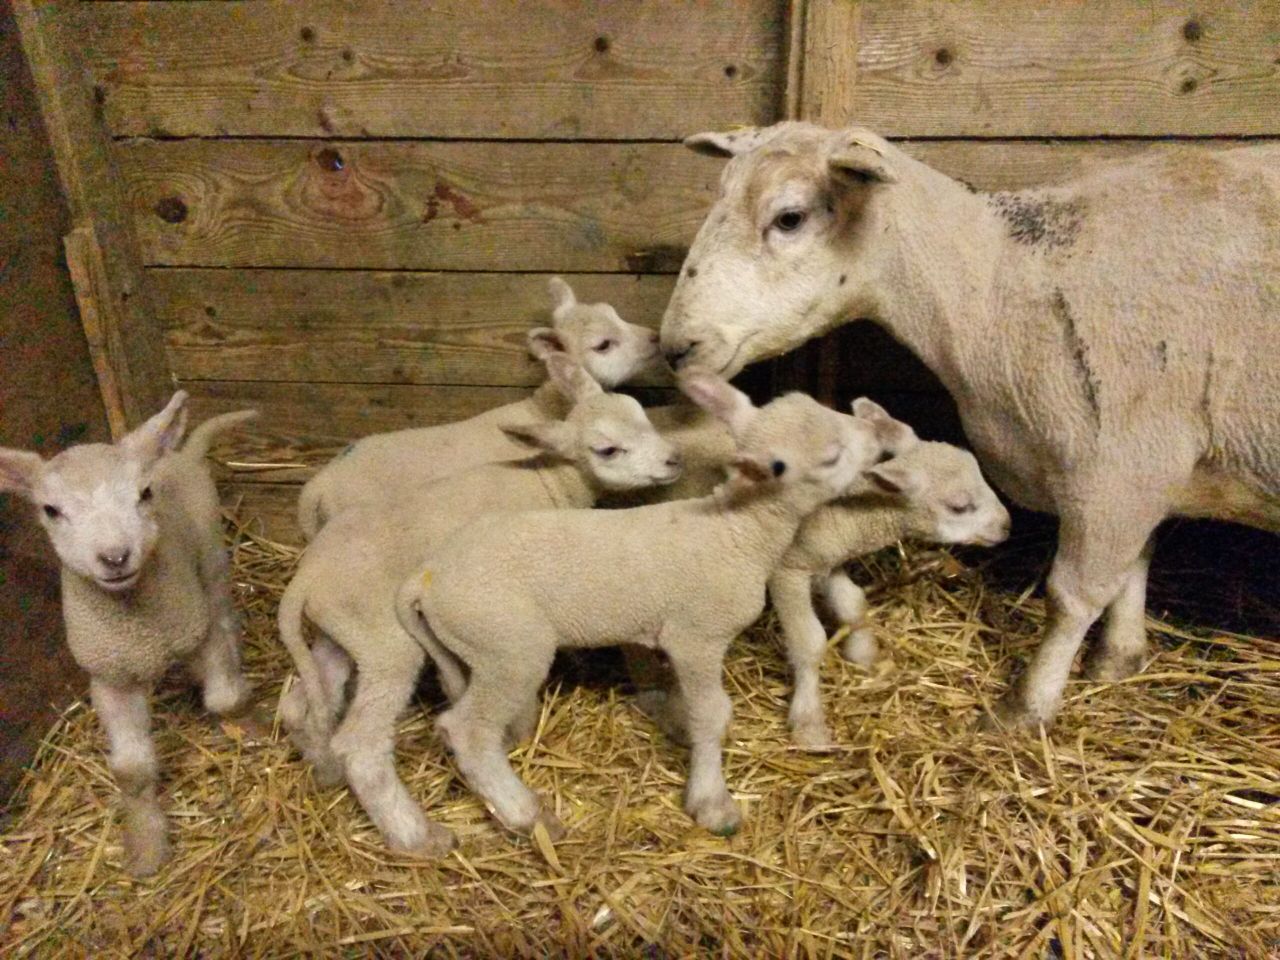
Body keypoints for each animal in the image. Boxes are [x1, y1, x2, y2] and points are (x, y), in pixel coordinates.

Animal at [0, 394, 256, 876]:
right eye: (50, 510)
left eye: (144, 493)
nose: (115, 557)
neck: (137, 624)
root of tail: (178, 453)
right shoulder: (109, 677)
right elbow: (131, 772)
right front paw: (146, 846)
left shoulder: (198, 630)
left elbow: (223, 697)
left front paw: (246, 720)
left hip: (211, 560)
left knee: (223, 610)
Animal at [276, 353, 680, 856]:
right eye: (607, 450)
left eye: (642, 415)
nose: (673, 459)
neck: (550, 480)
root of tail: (305, 579)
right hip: (388, 646)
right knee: (362, 744)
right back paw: (420, 835)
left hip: (349, 632)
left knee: (304, 702)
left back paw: (324, 768)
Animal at [394, 370, 886, 840]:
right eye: (831, 456)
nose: (879, 433)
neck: (735, 531)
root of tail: (425, 577)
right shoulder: (696, 637)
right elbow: (712, 714)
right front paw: (712, 802)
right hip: (509, 648)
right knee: (468, 732)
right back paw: (526, 815)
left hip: (470, 650)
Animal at [659, 121, 1280, 729]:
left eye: (789, 217)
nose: (675, 347)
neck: (995, 286)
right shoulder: (1144, 467)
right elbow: (1135, 564)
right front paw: (1117, 660)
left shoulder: (1121, 463)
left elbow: (1073, 596)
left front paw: (1025, 708)